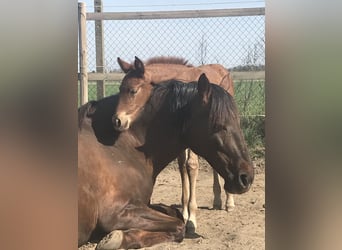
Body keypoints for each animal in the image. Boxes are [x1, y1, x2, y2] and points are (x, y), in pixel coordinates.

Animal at [78, 73, 254, 248]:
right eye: (219, 126)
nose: (247, 178)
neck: (120, 147)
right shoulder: (116, 213)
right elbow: (179, 225)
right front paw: (116, 238)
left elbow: (173, 212)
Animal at [113, 55, 236, 231]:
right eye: (120, 89)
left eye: (133, 90)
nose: (117, 121)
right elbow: (182, 167)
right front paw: (184, 212)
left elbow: (191, 166)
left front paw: (192, 219)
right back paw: (217, 200)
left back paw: (229, 202)